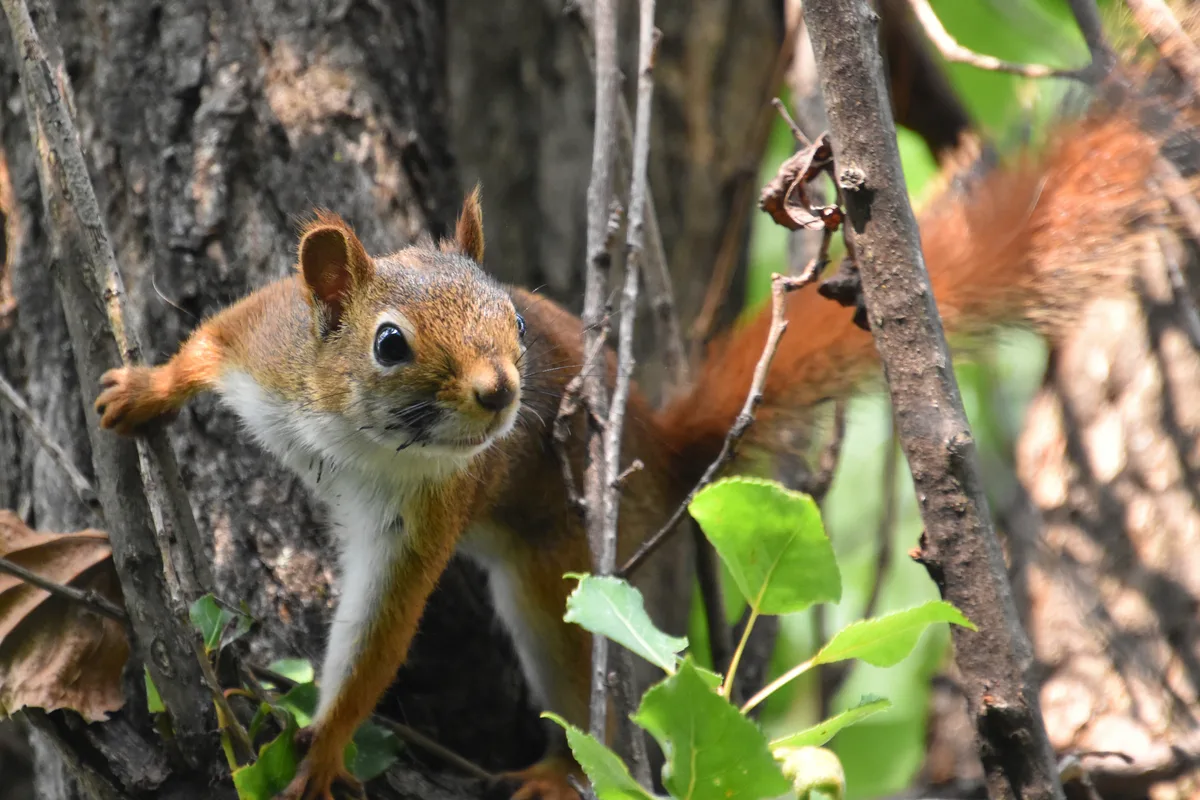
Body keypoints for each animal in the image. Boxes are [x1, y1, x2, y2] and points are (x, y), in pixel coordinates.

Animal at [93, 102, 1165, 800]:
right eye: (388, 343)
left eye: (512, 321)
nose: (504, 393)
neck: (347, 432)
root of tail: (659, 446)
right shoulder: (269, 349)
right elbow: (210, 341)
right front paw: (144, 389)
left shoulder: (428, 508)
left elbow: (380, 632)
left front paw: (322, 752)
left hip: (560, 579)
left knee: (585, 693)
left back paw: (551, 774)